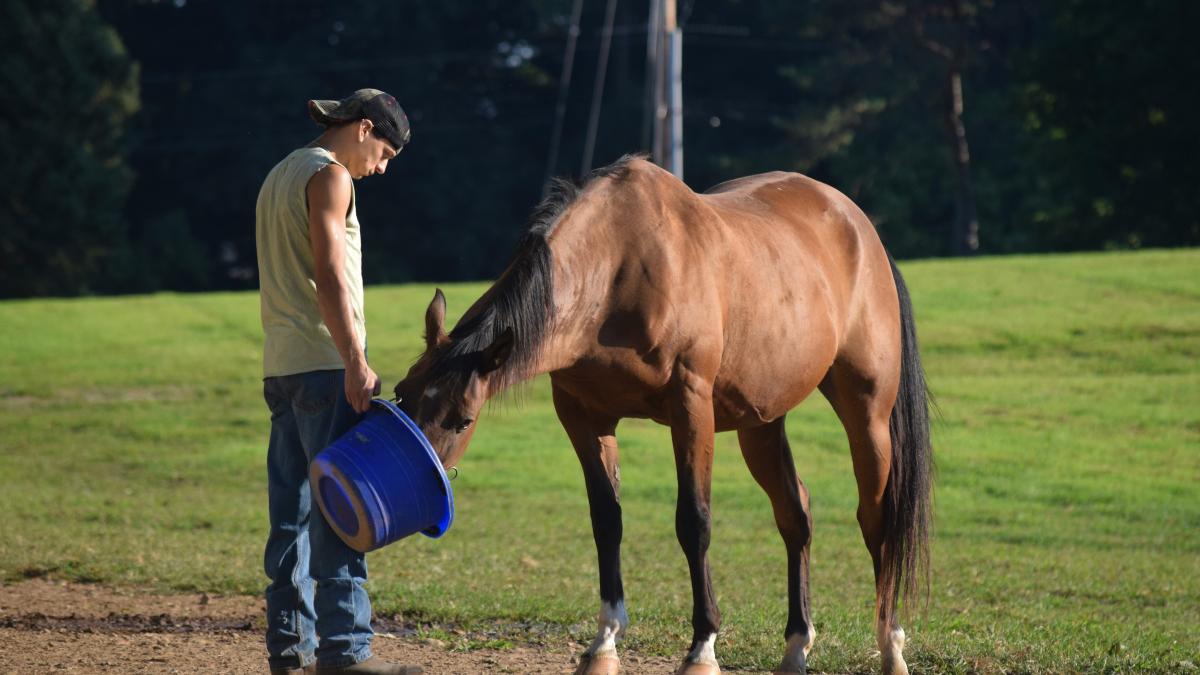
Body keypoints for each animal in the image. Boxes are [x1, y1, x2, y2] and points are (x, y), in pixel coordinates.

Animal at [391, 155, 933, 675]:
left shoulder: (690, 405)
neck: (619, 267)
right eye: (402, 394)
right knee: (795, 515)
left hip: (866, 414)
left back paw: (891, 647)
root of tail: (859, 227)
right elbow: (606, 520)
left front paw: (702, 649)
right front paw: (604, 644)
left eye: (463, 418)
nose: (420, 482)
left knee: (876, 520)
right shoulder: (583, 416)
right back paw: (797, 646)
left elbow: (694, 522)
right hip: (760, 424)